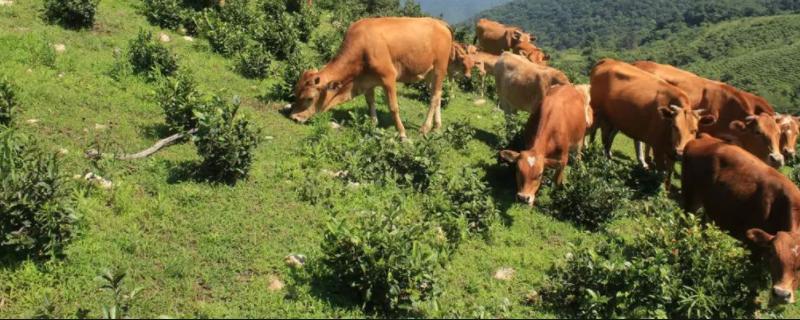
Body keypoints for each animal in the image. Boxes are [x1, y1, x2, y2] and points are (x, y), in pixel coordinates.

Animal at [288, 16, 454, 139]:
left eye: (309, 98)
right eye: (296, 92)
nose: (294, 117)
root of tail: (440, 23)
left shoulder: (389, 76)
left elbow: (393, 107)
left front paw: (402, 134)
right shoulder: (368, 80)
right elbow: (370, 102)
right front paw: (373, 124)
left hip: (439, 69)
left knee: (434, 97)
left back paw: (425, 128)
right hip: (429, 74)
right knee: (437, 95)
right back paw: (436, 127)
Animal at [588, 58, 712, 189]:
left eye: (695, 130)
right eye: (675, 126)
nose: (680, 152)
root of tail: (608, 60)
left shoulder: (671, 153)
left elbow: (669, 174)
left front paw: (666, 190)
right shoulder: (657, 148)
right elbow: (662, 172)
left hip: (614, 119)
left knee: (609, 138)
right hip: (599, 114)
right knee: (599, 134)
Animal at [680, 134, 800, 304]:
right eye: (773, 255)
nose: (781, 294)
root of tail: (705, 138)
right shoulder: (752, 247)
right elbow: (752, 281)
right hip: (690, 198)